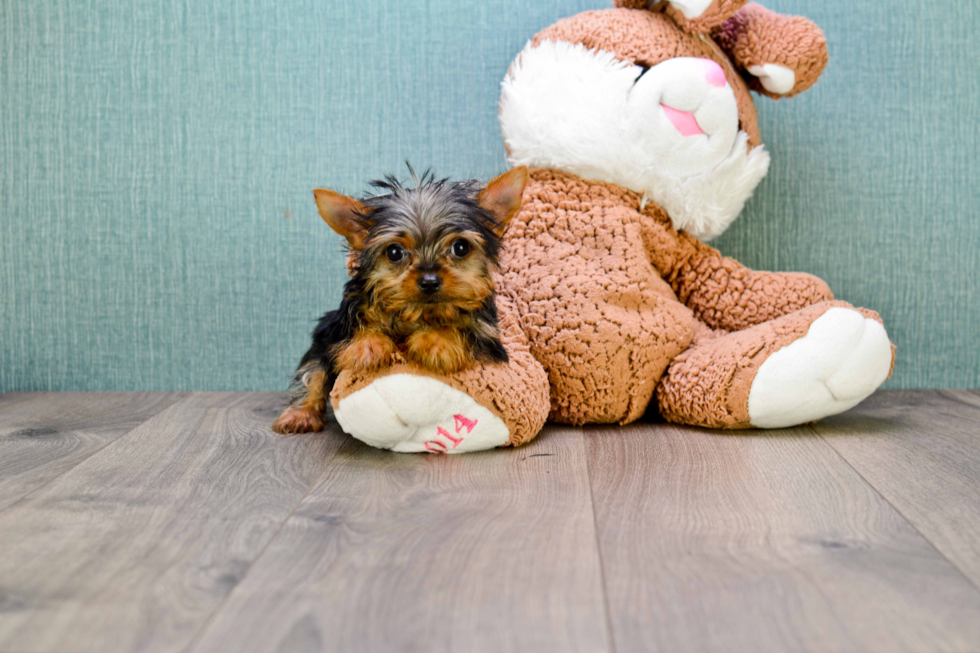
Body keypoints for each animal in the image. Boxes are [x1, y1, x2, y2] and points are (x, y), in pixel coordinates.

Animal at [272, 166, 528, 436]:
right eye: (394, 252)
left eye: (460, 247)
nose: (429, 280)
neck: (416, 313)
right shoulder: (335, 327)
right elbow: (336, 349)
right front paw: (368, 345)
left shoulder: (489, 338)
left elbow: (466, 331)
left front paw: (437, 341)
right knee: (313, 373)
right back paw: (300, 415)